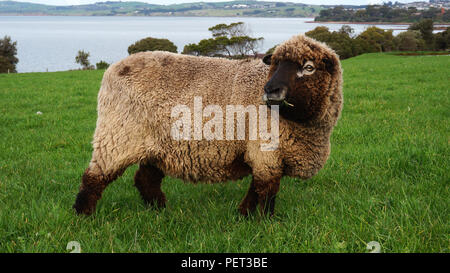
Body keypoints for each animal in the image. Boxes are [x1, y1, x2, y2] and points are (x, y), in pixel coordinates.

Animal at [73, 34, 342, 216]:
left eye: (309, 68)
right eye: (273, 64)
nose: (270, 90)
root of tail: (114, 68)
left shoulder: (264, 154)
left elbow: (257, 188)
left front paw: (244, 215)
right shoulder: (265, 152)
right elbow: (266, 190)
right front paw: (265, 221)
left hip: (157, 145)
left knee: (145, 179)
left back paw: (160, 210)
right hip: (118, 135)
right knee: (94, 176)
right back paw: (83, 214)